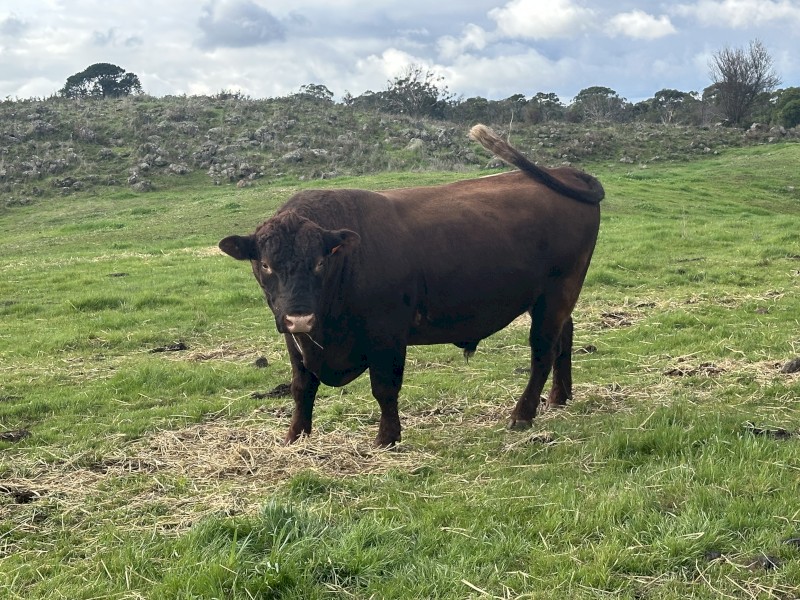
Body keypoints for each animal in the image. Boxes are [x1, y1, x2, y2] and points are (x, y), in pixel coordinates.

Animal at [219, 124, 604, 447]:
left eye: (319, 262)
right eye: (265, 264)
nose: (299, 317)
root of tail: (566, 172)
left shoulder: (387, 333)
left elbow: (384, 388)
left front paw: (387, 438)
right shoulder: (295, 340)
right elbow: (302, 387)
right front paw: (295, 436)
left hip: (555, 295)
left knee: (542, 353)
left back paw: (522, 415)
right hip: (554, 300)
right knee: (564, 338)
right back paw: (559, 398)